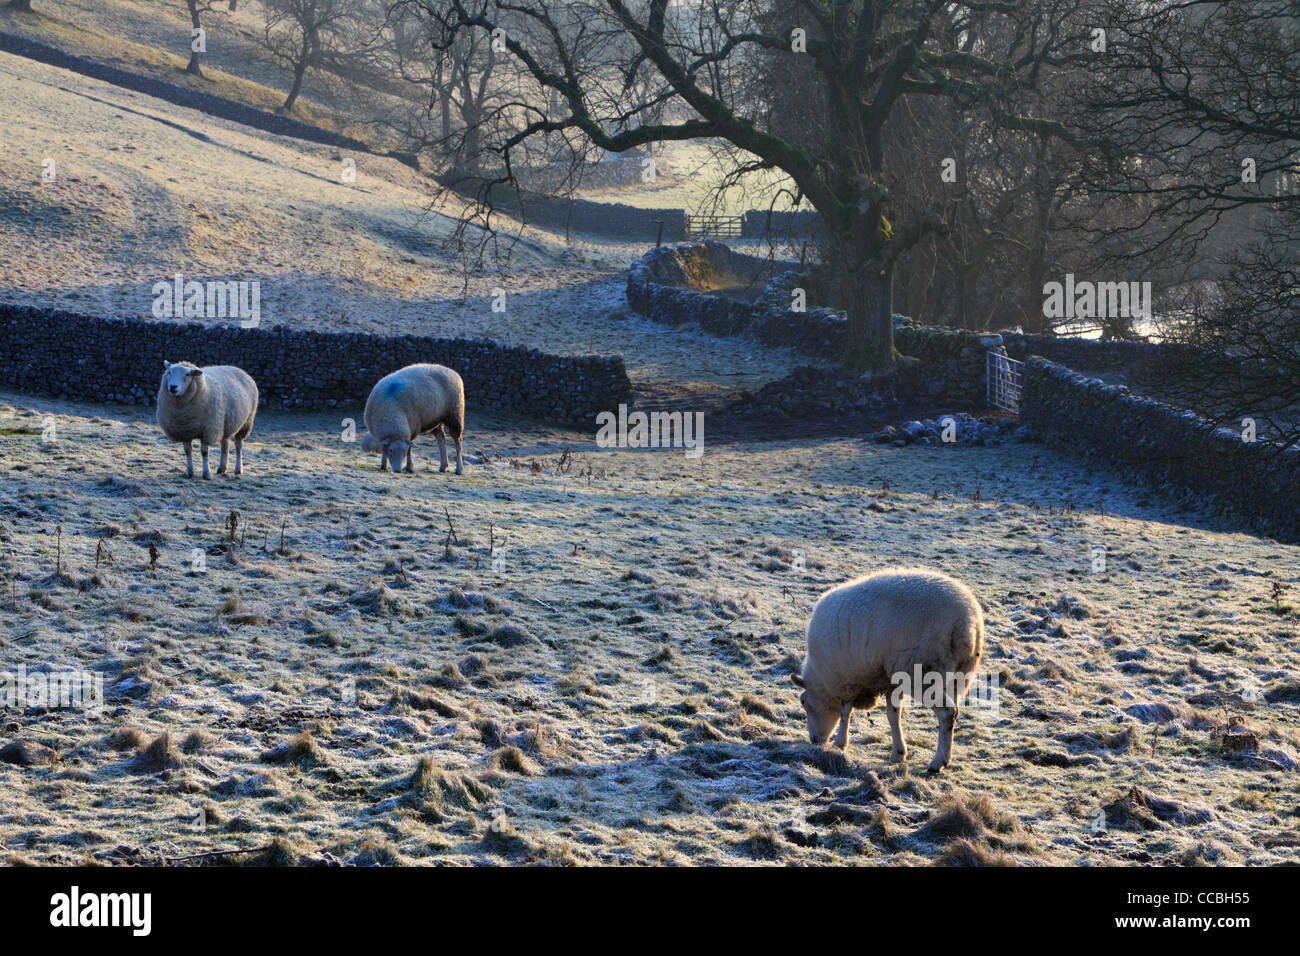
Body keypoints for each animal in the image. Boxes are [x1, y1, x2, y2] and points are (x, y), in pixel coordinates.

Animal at [790, 567, 982, 770]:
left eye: (804, 702)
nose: (814, 740)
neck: (821, 680)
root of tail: (967, 623)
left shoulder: (846, 681)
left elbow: (845, 713)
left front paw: (840, 743)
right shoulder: (890, 683)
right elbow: (893, 716)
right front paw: (898, 753)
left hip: (921, 673)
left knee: (947, 713)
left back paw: (938, 762)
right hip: (958, 676)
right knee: (954, 711)